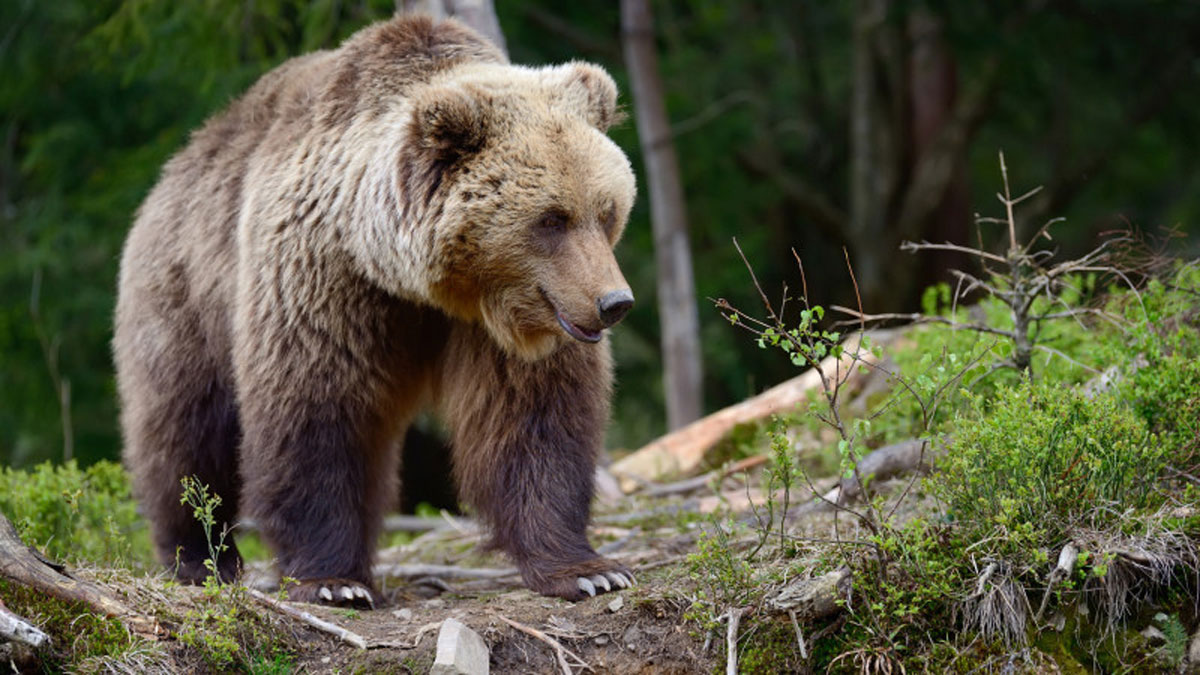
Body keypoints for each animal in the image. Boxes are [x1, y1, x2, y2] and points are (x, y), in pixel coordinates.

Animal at [113, 14, 638, 605]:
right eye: (551, 219)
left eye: (606, 210)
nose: (613, 302)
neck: (425, 285)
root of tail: (172, 169)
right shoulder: (323, 278)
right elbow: (317, 412)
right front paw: (332, 581)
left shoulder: (506, 328)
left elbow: (535, 419)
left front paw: (587, 569)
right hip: (185, 295)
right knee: (184, 430)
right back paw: (199, 557)